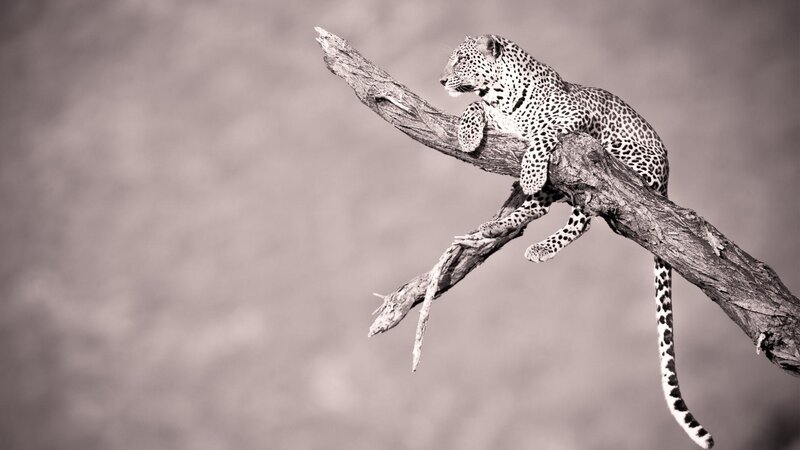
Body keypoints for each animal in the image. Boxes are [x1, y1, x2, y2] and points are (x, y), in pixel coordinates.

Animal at [440, 34, 713, 449]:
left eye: (461, 60)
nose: (441, 80)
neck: (500, 96)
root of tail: (666, 180)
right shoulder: (496, 114)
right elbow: (474, 106)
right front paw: (469, 135)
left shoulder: (572, 118)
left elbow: (541, 134)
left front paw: (530, 170)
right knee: (541, 209)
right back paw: (494, 228)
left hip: (607, 162)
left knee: (585, 215)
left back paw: (537, 240)